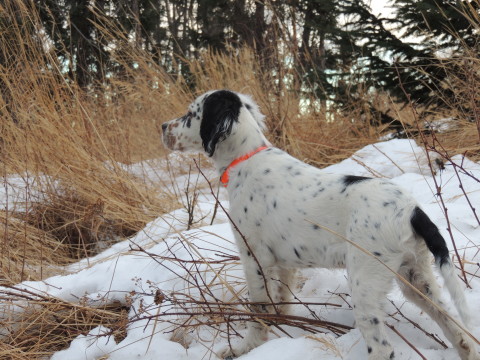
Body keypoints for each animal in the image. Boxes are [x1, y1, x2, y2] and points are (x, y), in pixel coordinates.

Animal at [162, 88, 480, 358]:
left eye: (191, 114)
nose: (163, 127)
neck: (246, 157)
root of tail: (413, 211)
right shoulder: (283, 263)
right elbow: (282, 300)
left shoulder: (254, 256)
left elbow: (259, 307)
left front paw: (245, 348)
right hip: (417, 278)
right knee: (458, 331)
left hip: (366, 283)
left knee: (382, 348)